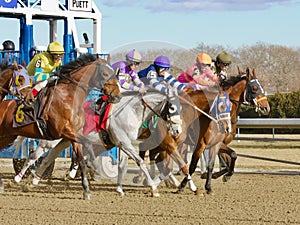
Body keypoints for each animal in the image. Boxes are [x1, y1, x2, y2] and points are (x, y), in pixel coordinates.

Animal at [0, 53, 119, 198]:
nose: (118, 95)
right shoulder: (64, 131)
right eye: (105, 73)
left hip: (8, 136)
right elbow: (87, 147)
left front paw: (86, 189)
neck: (69, 97)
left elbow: (81, 158)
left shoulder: (74, 135)